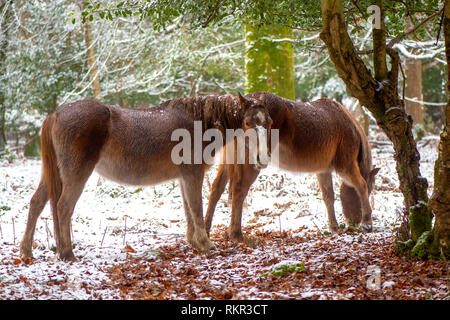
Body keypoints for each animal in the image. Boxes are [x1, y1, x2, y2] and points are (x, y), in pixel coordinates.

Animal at [20, 92, 270, 260]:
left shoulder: (184, 178)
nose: (263, 158)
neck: (199, 123)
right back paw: (67, 253)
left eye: (268, 123)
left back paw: (27, 251)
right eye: (248, 122)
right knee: (63, 207)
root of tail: (55, 114)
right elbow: (197, 209)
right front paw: (206, 244)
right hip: (75, 174)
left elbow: (189, 211)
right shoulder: (193, 174)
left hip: (53, 174)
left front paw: (194, 243)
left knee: (36, 203)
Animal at [206, 90, 378, 242]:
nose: (353, 222)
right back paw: (236, 234)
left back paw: (206, 231)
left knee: (216, 189)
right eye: (370, 191)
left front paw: (334, 227)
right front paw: (367, 222)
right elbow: (360, 185)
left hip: (228, 162)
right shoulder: (346, 165)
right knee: (239, 190)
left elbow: (328, 196)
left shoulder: (323, 170)